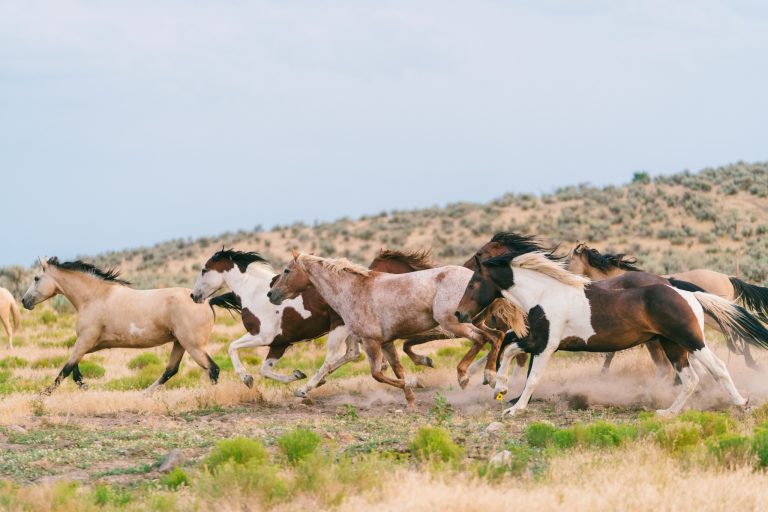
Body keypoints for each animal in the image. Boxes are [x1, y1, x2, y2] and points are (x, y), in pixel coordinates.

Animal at [21, 257, 220, 394]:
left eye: (36, 278)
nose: (24, 301)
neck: (94, 296)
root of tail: (207, 301)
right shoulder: (93, 344)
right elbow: (74, 366)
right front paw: (84, 386)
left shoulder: (85, 340)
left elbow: (66, 368)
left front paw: (42, 395)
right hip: (180, 343)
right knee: (170, 371)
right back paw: (143, 395)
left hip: (193, 345)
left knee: (212, 369)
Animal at [190, 248, 447, 397]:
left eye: (203, 270)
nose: (193, 296)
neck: (254, 291)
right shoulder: (279, 343)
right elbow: (265, 369)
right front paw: (295, 375)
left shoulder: (263, 336)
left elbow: (232, 347)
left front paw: (247, 379)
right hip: (349, 330)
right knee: (352, 354)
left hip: (340, 329)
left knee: (336, 357)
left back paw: (307, 388)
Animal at [267, 252, 501, 407]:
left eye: (287, 270)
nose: (271, 294)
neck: (352, 291)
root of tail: (476, 277)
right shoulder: (387, 342)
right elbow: (398, 370)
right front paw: (411, 401)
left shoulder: (371, 341)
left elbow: (377, 374)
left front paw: (416, 382)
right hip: (473, 321)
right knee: (495, 337)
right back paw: (490, 377)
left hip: (453, 323)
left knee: (481, 339)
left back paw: (466, 377)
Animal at [568, 242, 764, 371]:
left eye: (568, 260)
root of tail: (727, 277)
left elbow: (610, 353)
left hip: (716, 319)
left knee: (737, 331)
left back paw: (750, 363)